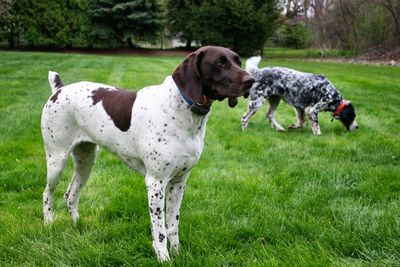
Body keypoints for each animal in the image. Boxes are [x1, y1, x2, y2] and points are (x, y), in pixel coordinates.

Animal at [40, 46, 253, 262]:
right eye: (219, 63)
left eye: (238, 61)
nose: (251, 81)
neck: (182, 111)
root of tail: (59, 89)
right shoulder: (156, 182)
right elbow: (159, 231)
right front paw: (164, 258)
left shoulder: (179, 182)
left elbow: (172, 225)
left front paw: (177, 253)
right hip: (57, 159)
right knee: (47, 193)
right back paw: (49, 223)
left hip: (86, 161)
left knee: (70, 194)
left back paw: (77, 224)